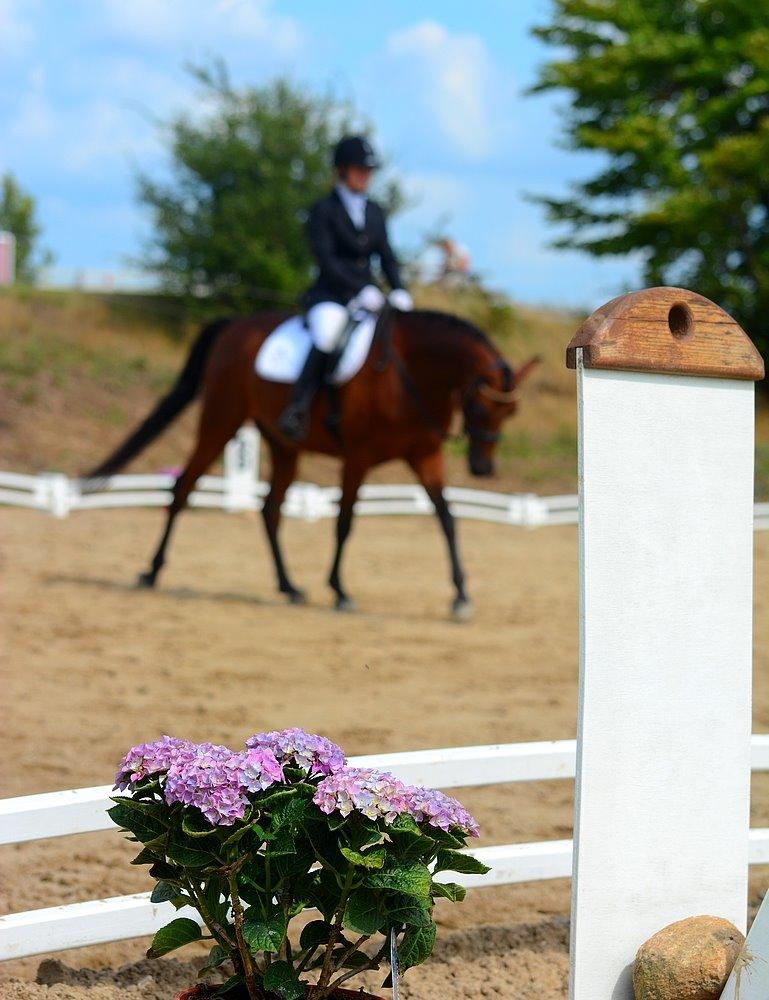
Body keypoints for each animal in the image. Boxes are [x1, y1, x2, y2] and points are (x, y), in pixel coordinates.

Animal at [87, 306, 536, 616]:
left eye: (512, 413)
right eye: (479, 408)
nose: (483, 468)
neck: (409, 374)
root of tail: (235, 325)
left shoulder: (425, 456)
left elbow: (447, 519)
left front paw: (461, 596)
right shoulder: (357, 457)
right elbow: (345, 522)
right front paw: (340, 590)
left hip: (283, 444)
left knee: (270, 510)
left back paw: (289, 587)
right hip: (221, 420)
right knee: (183, 489)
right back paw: (150, 572)